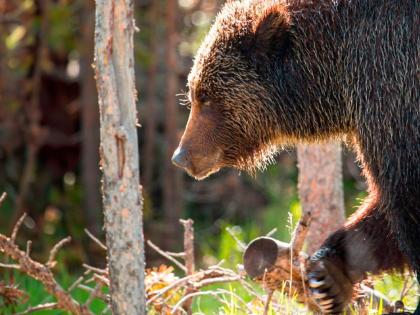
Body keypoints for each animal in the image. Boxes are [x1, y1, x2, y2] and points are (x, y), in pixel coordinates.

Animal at [171, 1, 420, 314]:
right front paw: (329, 276)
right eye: (194, 92)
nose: (181, 156)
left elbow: (403, 190)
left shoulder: (392, 84)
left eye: (205, 96)